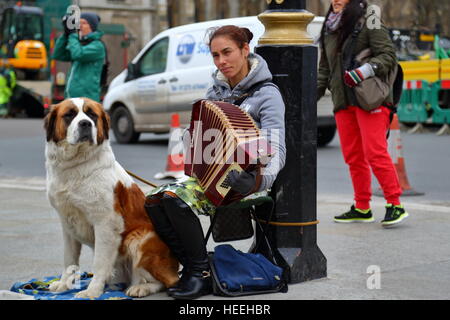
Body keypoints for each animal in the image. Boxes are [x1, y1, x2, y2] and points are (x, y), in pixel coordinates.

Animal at [44, 98, 179, 300]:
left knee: (167, 281)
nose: (85, 124)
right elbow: (69, 258)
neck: (75, 165)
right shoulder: (67, 223)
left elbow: (99, 262)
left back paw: (141, 287)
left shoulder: (106, 223)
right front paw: (64, 284)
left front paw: (92, 291)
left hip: (140, 238)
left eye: (92, 115)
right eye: (69, 115)